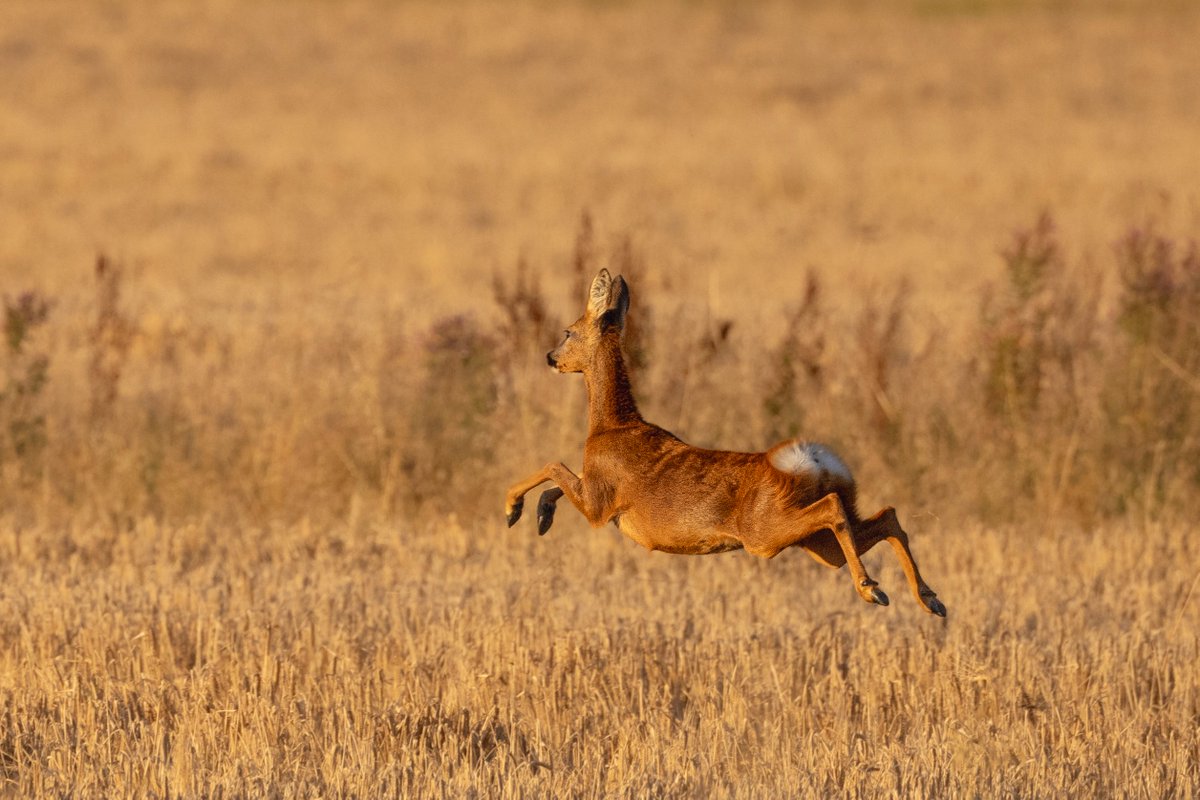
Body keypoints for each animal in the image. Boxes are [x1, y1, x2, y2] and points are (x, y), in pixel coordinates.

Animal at [506, 267, 945, 614]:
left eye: (568, 331)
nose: (549, 357)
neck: (610, 426)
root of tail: (814, 460)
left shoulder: (600, 504)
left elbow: (553, 466)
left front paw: (514, 509)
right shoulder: (596, 494)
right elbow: (557, 480)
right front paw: (542, 516)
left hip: (763, 532)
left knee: (836, 508)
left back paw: (873, 590)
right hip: (816, 543)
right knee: (885, 516)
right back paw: (928, 600)